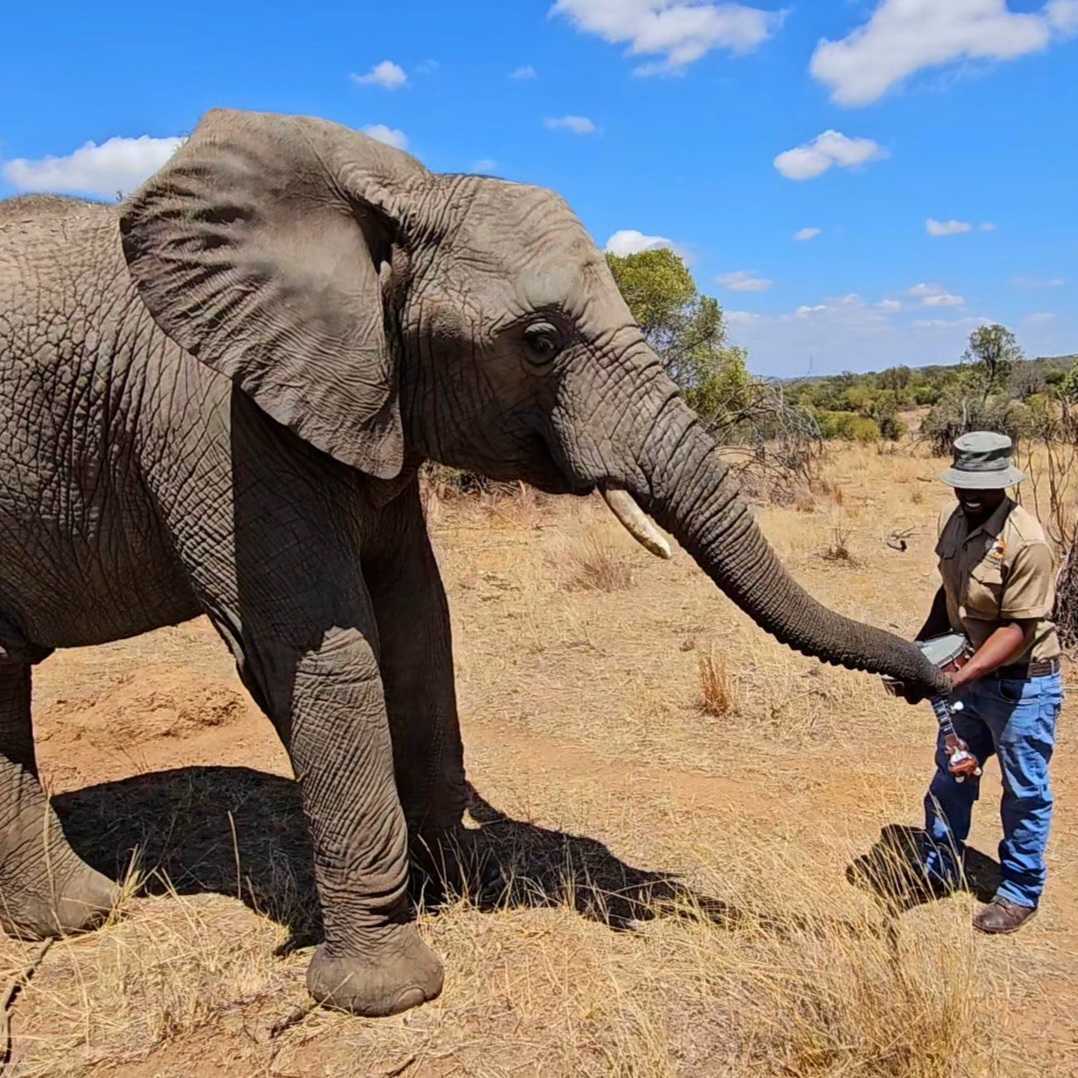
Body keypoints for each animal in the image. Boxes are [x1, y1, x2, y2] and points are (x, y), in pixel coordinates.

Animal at [0, 109, 944, 1017]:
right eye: (539, 341)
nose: (928, 678)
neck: (387, 198)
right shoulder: (209, 416)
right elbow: (326, 652)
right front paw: (388, 994)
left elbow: (420, 621)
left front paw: (460, 887)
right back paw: (87, 914)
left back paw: (81, 914)